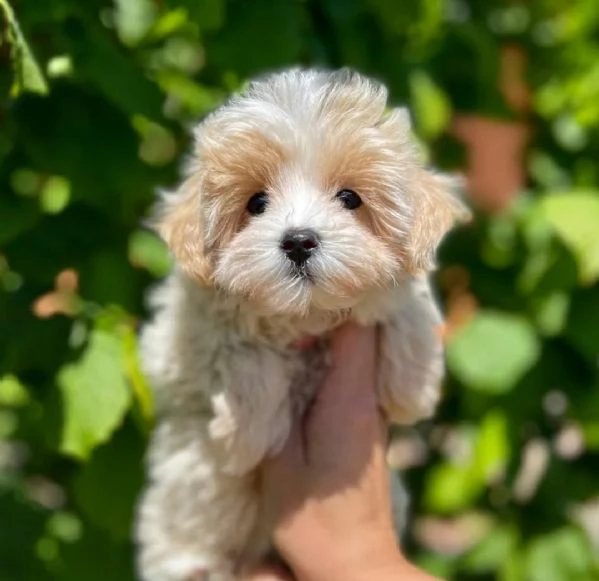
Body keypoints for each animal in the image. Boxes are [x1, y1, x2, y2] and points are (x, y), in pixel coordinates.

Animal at [137, 69, 474, 580]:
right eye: (256, 203)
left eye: (350, 198)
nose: (298, 241)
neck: (306, 317)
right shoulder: (179, 341)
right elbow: (237, 351)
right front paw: (247, 435)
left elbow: (407, 308)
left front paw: (412, 390)